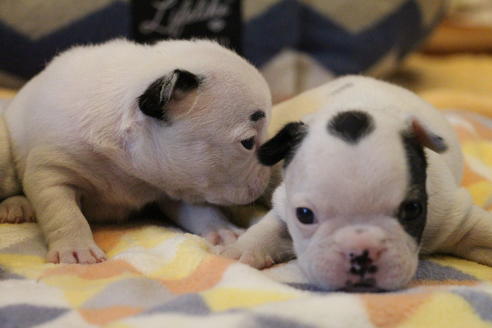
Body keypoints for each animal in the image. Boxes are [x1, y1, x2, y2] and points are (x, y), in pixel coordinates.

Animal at [0, 38, 272, 264]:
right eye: (248, 142)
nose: (268, 176)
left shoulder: (176, 181)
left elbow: (201, 211)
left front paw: (223, 230)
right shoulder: (52, 171)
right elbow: (64, 212)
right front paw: (76, 248)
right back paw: (16, 206)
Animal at [221, 75, 492, 290]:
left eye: (413, 209)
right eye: (304, 215)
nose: (361, 250)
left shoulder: (452, 216)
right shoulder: (283, 200)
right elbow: (269, 227)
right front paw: (240, 248)